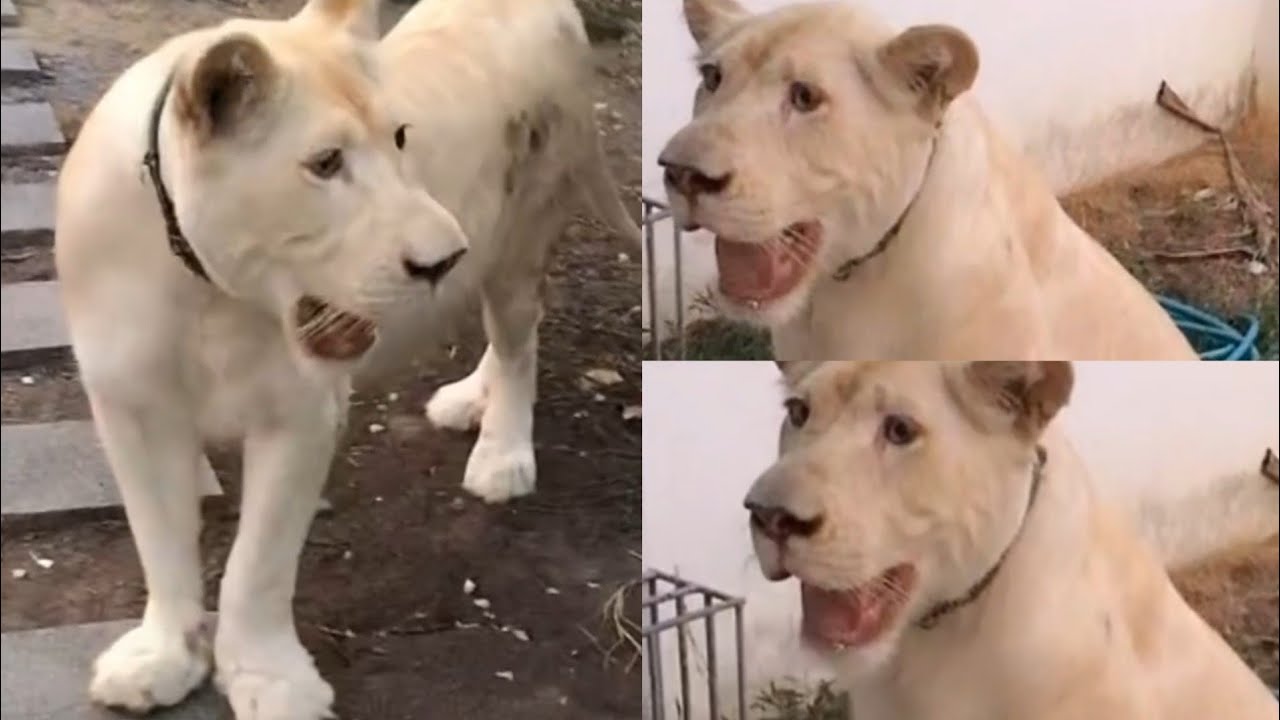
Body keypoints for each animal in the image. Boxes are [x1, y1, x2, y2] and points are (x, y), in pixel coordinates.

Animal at [53, 0, 637, 716]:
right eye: (326, 163)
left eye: (401, 139)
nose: (444, 259)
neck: (204, 290)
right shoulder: (130, 404)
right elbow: (159, 541)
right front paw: (160, 659)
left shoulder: (300, 412)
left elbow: (258, 564)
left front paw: (272, 682)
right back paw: (470, 398)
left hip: (521, 236)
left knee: (518, 341)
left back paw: (501, 456)